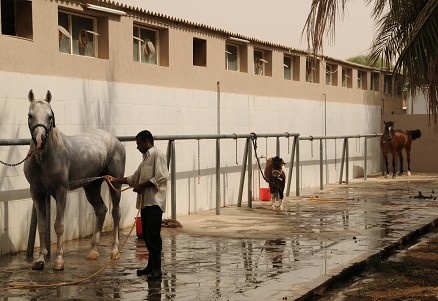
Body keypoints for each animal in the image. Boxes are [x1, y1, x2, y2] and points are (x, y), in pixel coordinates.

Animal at [24, 89, 126, 270]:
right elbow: (42, 227)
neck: (44, 159)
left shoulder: (61, 191)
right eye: (30, 115)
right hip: (91, 186)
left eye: (50, 116)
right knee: (101, 210)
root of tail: (115, 140)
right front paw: (40, 260)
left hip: (114, 183)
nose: (40, 141)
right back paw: (93, 251)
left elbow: (58, 226)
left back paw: (114, 251)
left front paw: (58, 261)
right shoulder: (36, 192)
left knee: (115, 213)